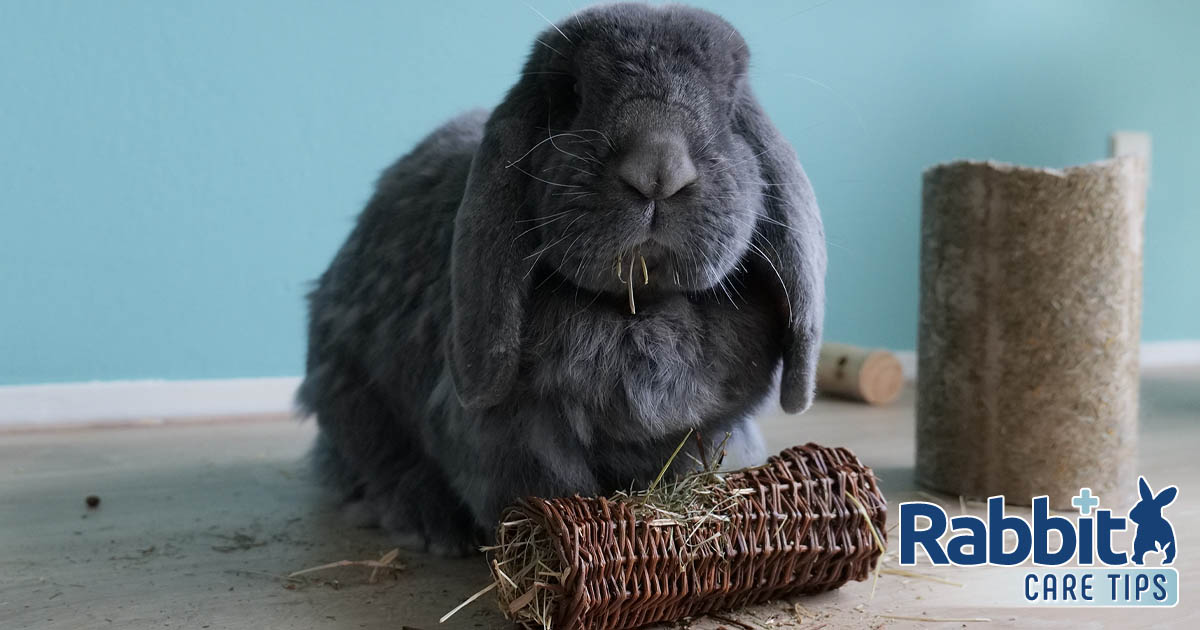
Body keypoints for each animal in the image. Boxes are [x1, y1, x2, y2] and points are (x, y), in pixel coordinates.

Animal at [298, 4, 825, 554]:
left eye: (729, 102)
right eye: (571, 93)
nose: (658, 170)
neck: (639, 312)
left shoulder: (707, 432)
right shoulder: (519, 437)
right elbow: (550, 486)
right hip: (350, 394)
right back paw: (425, 522)